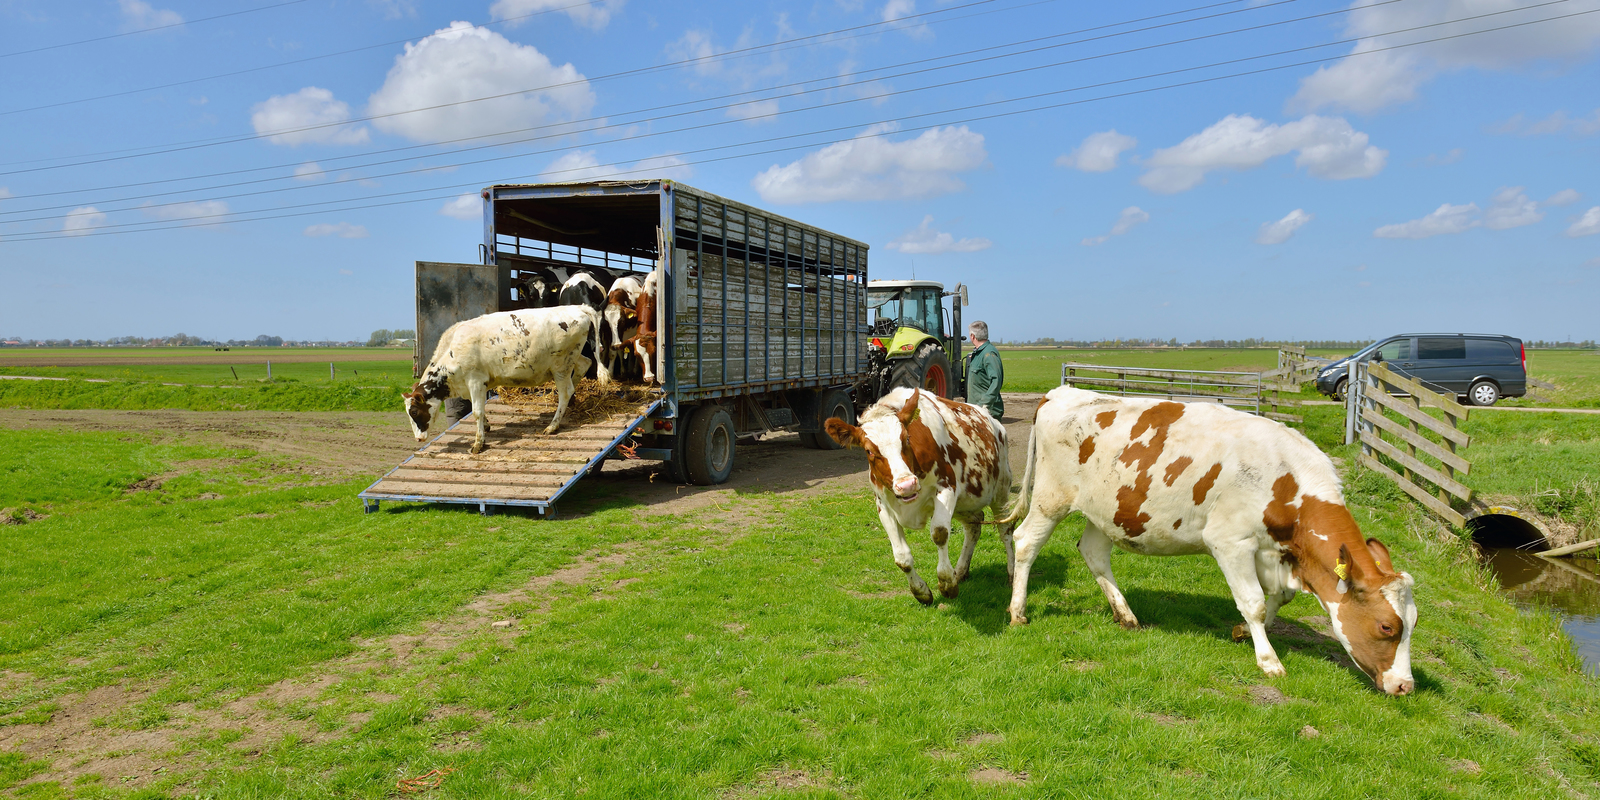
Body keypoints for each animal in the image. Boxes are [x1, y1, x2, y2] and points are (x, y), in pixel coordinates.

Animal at [403, 304, 608, 454]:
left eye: (414, 411)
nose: (418, 438)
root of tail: (578, 307)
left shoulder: (475, 381)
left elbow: (477, 411)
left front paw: (478, 443)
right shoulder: (470, 385)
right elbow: (479, 410)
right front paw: (486, 426)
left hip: (561, 365)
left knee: (565, 392)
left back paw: (553, 425)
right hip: (571, 359)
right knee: (585, 364)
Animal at [825, 390, 1011, 601]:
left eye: (906, 439)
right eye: (869, 450)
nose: (906, 485)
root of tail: (992, 420)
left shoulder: (946, 488)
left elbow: (940, 534)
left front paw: (947, 582)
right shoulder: (883, 506)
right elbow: (902, 557)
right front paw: (920, 591)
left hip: (1001, 491)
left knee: (1006, 530)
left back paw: (1012, 574)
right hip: (964, 503)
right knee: (974, 525)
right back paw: (961, 571)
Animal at [1004, 387, 1420, 694]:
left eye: (1413, 623)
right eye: (1387, 627)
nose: (1405, 686)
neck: (1286, 478)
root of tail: (1061, 392)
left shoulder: (1276, 554)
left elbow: (1278, 599)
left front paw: (1245, 633)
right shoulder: (1230, 542)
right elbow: (1253, 603)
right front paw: (1269, 660)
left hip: (1107, 512)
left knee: (1093, 554)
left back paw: (1126, 615)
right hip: (1051, 497)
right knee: (1025, 542)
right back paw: (1018, 612)